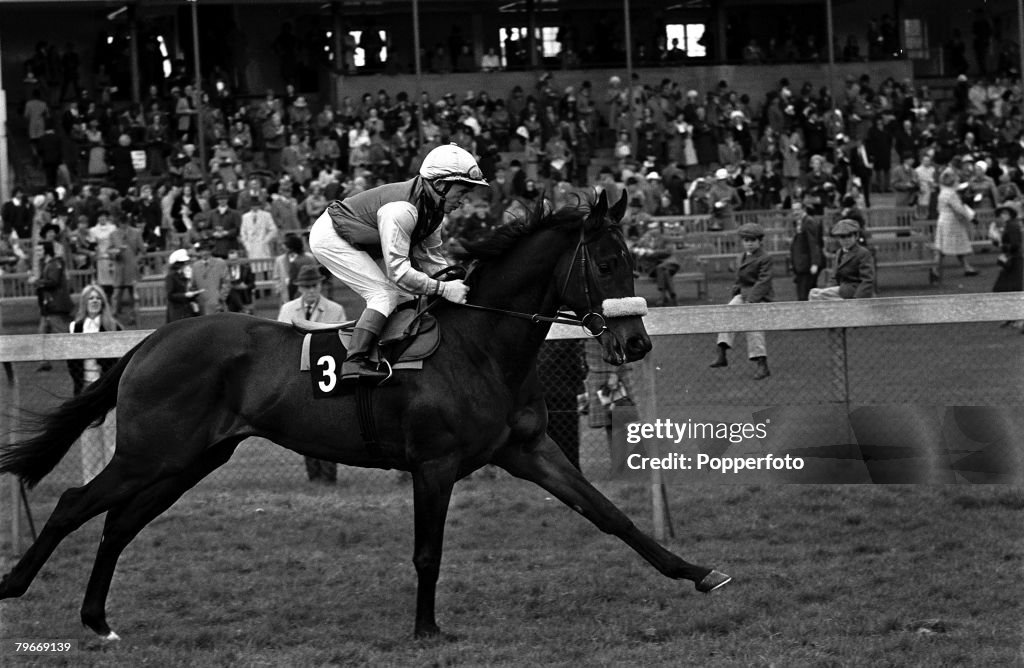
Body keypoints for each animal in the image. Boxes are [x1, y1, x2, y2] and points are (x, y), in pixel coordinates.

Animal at [0, 190, 729, 639]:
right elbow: (428, 552)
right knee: (73, 504)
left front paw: (697, 573)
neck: (480, 343)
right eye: (604, 261)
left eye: (631, 260)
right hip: (152, 451)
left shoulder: (526, 449)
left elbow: (609, 515)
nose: (635, 344)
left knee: (118, 523)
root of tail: (151, 340)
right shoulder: (434, 464)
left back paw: (98, 619)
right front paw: (427, 628)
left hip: (189, 459)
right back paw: (15, 585)